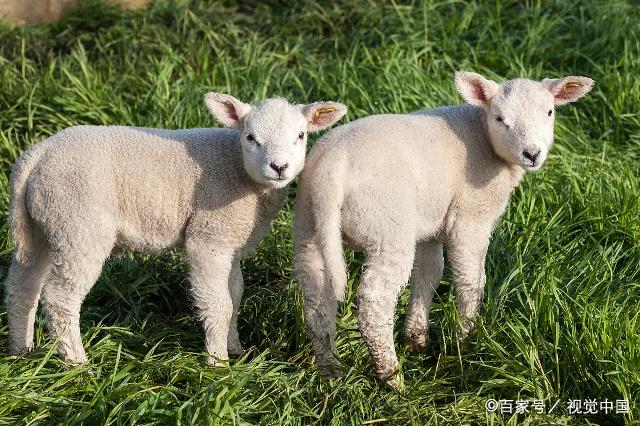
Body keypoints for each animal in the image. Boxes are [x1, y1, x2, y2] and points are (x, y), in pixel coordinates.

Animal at [3, 93, 344, 366]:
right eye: (250, 137)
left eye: (300, 135)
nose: (279, 167)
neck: (237, 170)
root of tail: (35, 157)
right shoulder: (208, 238)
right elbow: (219, 304)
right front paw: (218, 363)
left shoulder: (230, 241)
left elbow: (235, 295)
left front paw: (235, 348)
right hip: (78, 225)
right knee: (60, 297)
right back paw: (77, 363)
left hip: (45, 225)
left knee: (22, 286)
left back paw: (22, 350)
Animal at [296, 71, 596, 384]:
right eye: (500, 118)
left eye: (549, 112)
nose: (532, 153)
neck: (482, 135)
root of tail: (332, 170)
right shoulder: (471, 218)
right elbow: (470, 280)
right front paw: (464, 340)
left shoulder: (430, 225)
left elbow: (429, 275)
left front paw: (416, 339)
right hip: (386, 226)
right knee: (374, 302)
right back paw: (391, 375)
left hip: (308, 225)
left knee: (316, 301)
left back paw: (331, 370)